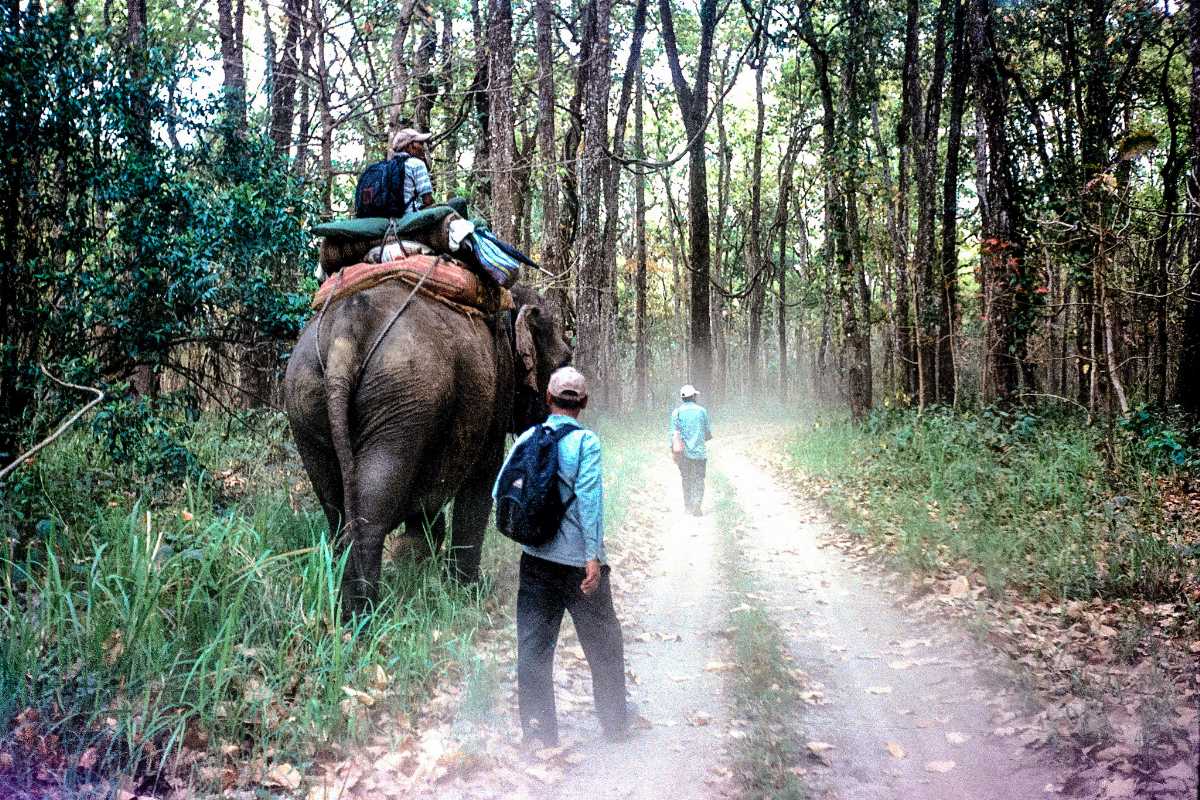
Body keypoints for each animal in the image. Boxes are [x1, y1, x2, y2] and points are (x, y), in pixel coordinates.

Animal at [288, 281, 573, 614]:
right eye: (565, 360)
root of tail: (345, 333)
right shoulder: (497, 393)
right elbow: (483, 477)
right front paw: (470, 590)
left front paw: (415, 563)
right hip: (402, 400)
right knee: (372, 505)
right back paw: (366, 614)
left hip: (307, 402)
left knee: (334, 508)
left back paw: (346, 605)